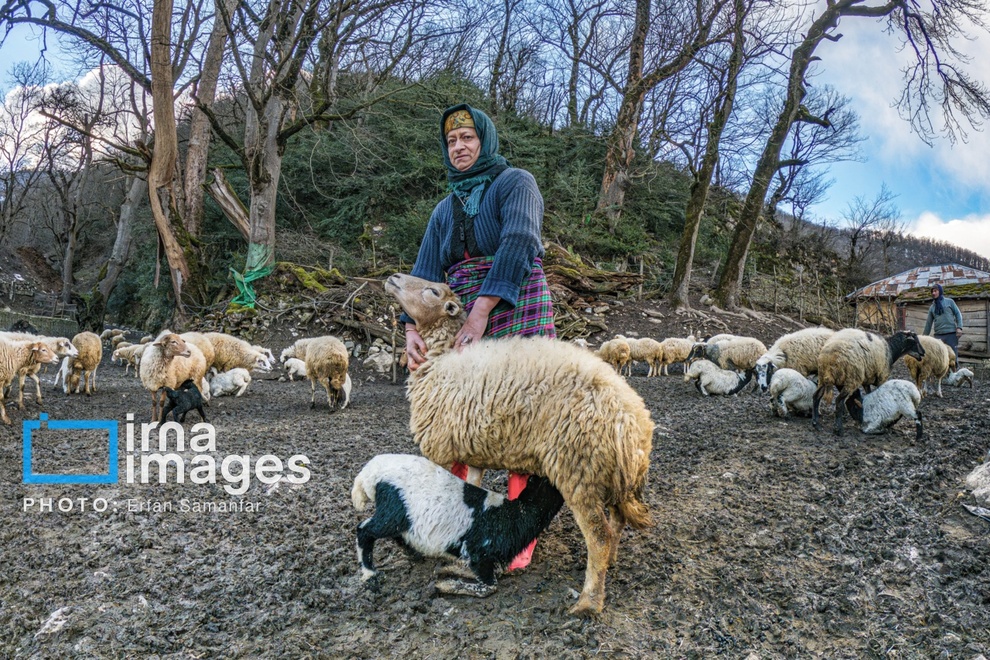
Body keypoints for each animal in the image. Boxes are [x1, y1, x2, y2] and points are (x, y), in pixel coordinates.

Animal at [354, 454, 564, 600]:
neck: (516, 514)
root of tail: (368, 474)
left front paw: (447, 569)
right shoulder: (479, 551)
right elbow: (490, 586)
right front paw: (444, 585)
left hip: (398, 518)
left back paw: (414, 554)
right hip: (394, 510)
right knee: (364, 530)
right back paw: (370, 573)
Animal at [388, 270, 660, 616]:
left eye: (433, 292)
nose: (394, 277)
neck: (439, 362)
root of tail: (636, 426)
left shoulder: (442, 449)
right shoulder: (471, 448)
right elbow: (470, 488)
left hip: (579, 469)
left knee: (599, 536)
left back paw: (588, 602)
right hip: (609, 473)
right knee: (619, 521)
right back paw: (609, 563)